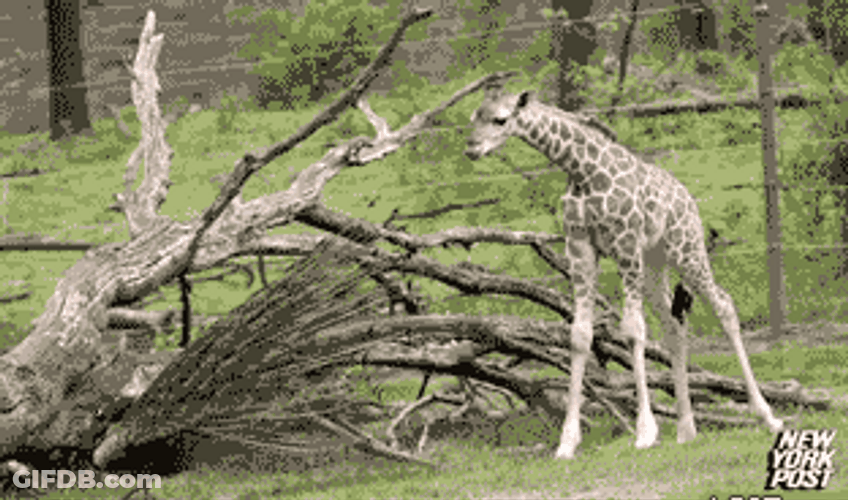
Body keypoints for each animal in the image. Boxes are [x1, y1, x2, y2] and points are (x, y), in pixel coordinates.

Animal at [464, 85, 783, 459]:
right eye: (474, 116)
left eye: (500, 119)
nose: (471, 148)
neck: (583, 171)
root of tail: (688, 198)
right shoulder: (581, 251)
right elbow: (579, 335)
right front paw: (566, 443)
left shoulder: (625, 245)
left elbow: (632, 329)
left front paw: (645, 432)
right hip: (654, 265)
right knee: (674, 325)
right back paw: (686, 429)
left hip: (686, 250)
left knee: (723, 305)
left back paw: (767, 416)